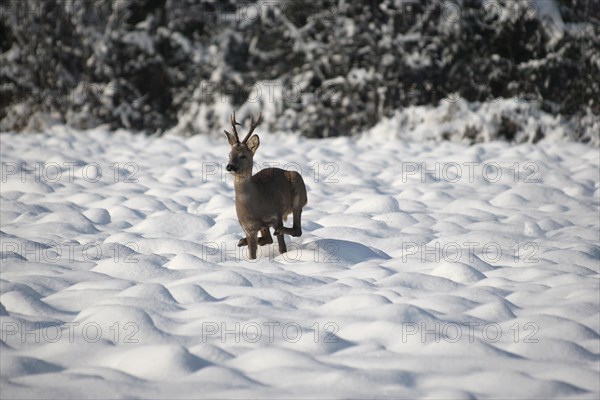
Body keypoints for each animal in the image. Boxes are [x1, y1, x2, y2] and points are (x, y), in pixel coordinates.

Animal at [226, 111, 310, 260]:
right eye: (229, 154)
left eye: (243, 156)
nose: (230, 166)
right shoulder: (249, 228)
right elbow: (252, 254)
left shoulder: (276, 216)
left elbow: (282, 248)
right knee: (269, 238)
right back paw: (242, 241)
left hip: (298, 192)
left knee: (296, 229)